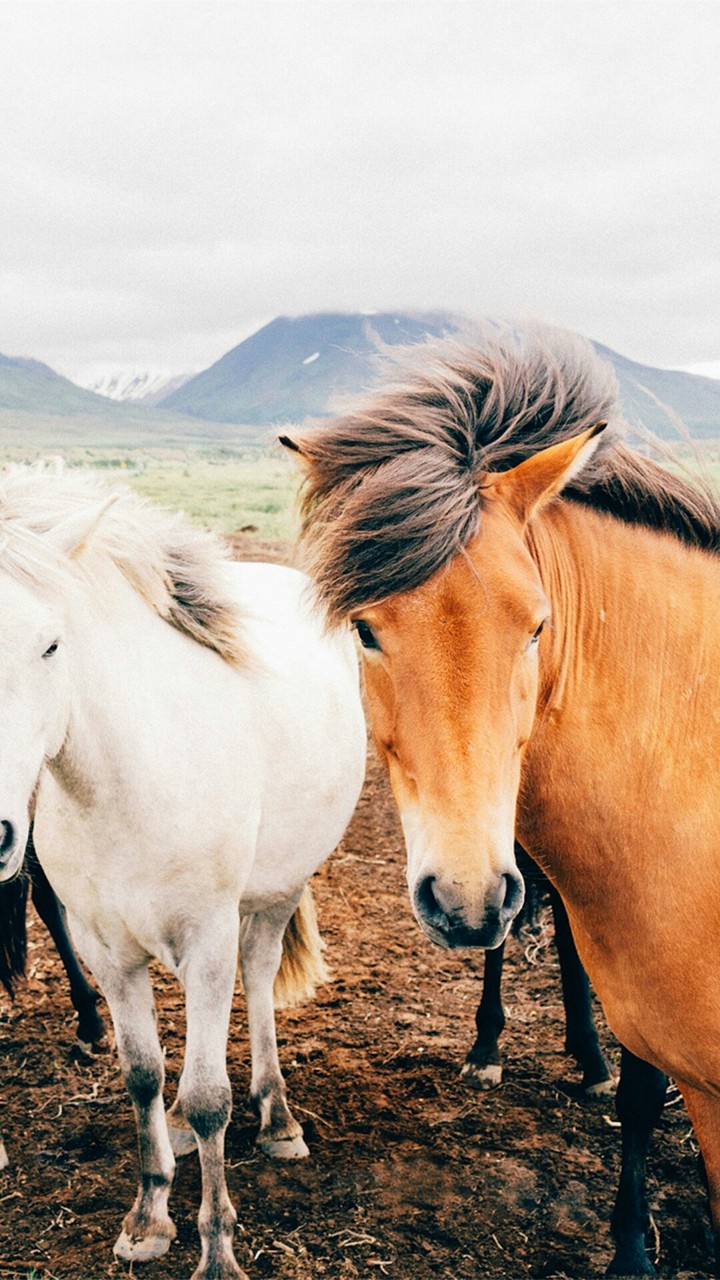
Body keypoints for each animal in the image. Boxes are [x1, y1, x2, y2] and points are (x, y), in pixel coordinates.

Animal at [0, 465, 366, 1280]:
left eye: (50, 645)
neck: (127, 780)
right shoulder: (105, 952)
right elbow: (142, 1075)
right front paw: (147, 1217)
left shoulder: (206, 940)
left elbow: (207, 1096)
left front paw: (218, 1252)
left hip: (278, 892)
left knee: (258, 978)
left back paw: (278, 1116)